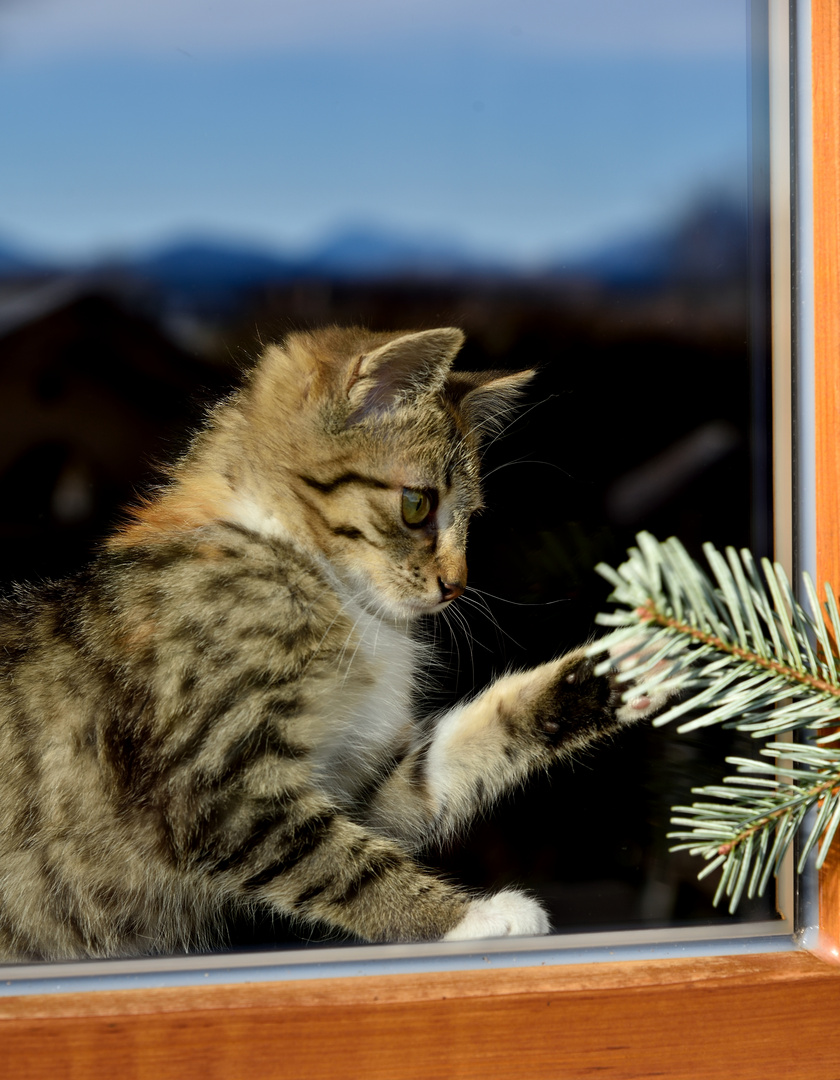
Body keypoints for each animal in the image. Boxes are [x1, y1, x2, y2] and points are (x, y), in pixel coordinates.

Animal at [0, 328, 656, 963]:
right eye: (417, 504)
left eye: (472, 517)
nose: (457, 584)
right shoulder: (218, 786)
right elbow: (341, 862)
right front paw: (471, 918)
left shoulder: (361, 785)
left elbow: (454, 756)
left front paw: (625, 668)